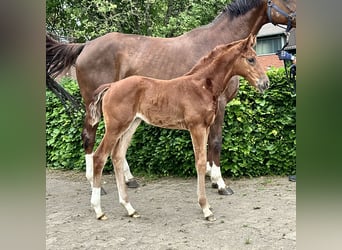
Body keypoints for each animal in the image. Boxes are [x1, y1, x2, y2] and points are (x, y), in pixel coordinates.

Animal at [46, 0, 296, 195]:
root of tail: (86, 45)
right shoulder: (220, 104)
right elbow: (216, 141)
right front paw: (221, 183)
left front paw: (210, 177)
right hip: (93, 105)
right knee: (89, 137)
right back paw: (96, 184)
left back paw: (129, 179)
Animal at [89, 35, 270, 221]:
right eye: (251, 59)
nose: (265, 83)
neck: (202, 86)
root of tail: (111, 86)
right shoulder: (196, 127)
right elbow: (200, 163)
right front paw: (205, 208)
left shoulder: (206, 127)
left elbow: (205, 158)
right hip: (115, 127)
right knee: (99, 156)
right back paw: (99, 210)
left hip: (131, 124)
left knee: (117, 156)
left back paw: (129, 208)